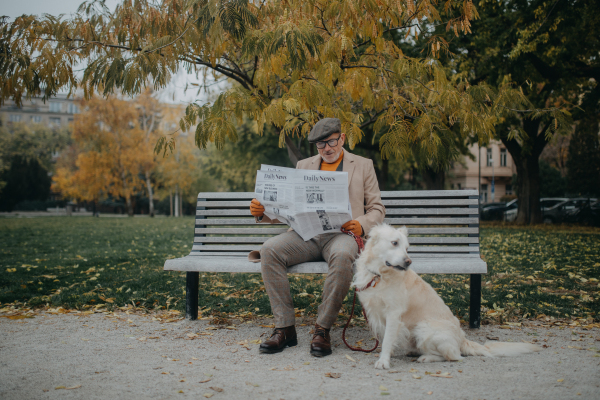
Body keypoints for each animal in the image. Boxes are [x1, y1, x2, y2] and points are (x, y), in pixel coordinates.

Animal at [350, 223, 540, 370]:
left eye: (407, 248)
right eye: (394, 243)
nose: (408, 261)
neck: (379, 274)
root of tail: (462, 339)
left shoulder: (394, 314)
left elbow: (388, 339)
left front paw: (383, 361)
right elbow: (386, 338)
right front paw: (387, 354)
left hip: (424, 328)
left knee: (453, 356)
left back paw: (426, 357)